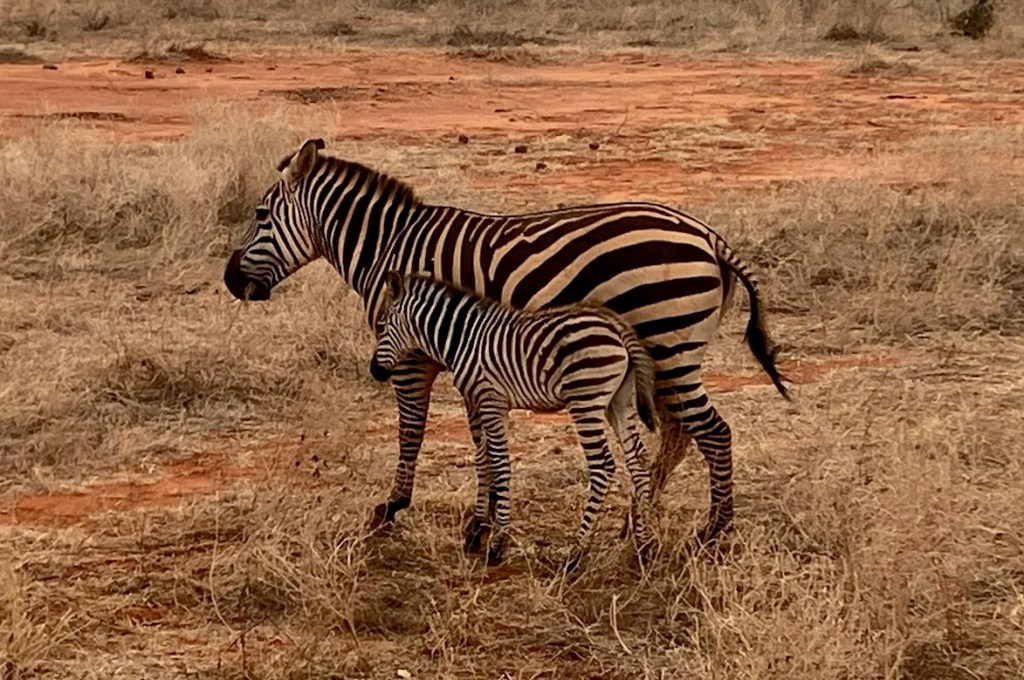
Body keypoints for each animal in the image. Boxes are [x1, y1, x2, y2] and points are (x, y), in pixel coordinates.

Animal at [369, 271, 659, 566]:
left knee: (603, 465)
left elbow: (499, 463)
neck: (463, 339)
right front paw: (478, 532)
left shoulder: (491, 400)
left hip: (585, 400)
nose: (375, 371)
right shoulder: (486, 403)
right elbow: (483, 459)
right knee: (638, 459)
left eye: (381, 326)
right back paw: (645, 547)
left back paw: (576, 553)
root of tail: (616, 326)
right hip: (619, 402)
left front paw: (498, 544)